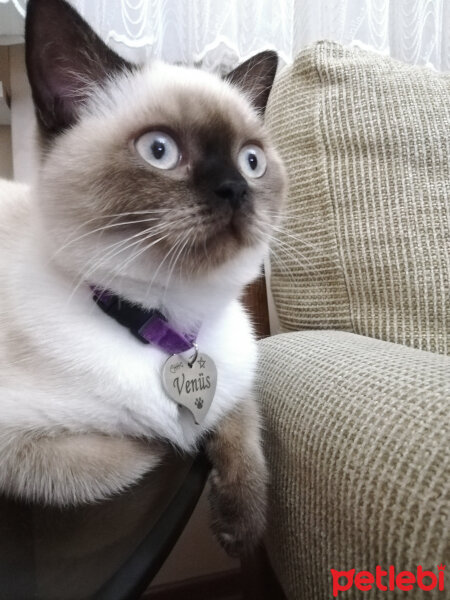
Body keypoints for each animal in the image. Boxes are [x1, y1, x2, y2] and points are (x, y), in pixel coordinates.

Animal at [0, 0, 286, 556]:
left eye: (252, 161)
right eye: (160, 151)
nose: (235, 189)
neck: (173, 322)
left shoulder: (234, 385)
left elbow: (244, 431)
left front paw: (239, 528)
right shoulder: (26, 448)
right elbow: (153, 447)